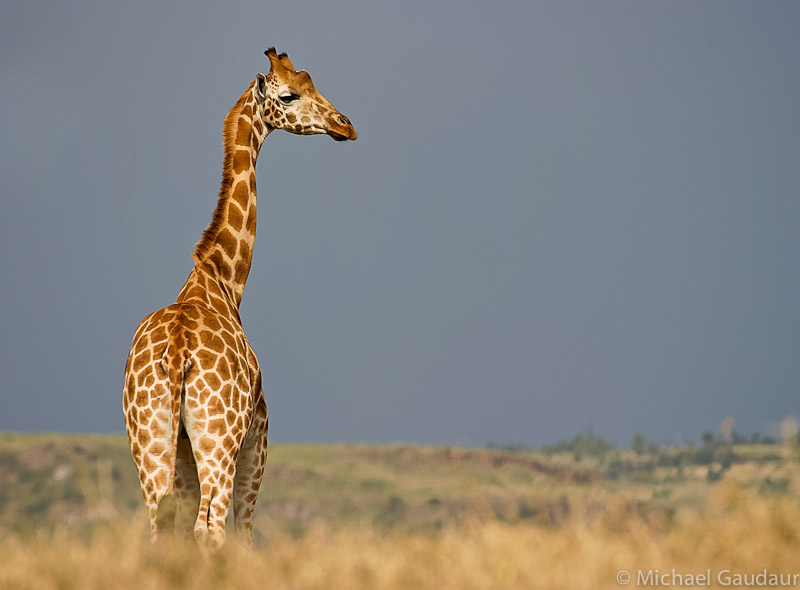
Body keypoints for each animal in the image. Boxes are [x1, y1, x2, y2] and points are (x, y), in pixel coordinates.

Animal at [121, 48, 354, 552]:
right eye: (289, 95)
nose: (345, 125)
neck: (223, 282)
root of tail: (179, 352)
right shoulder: (257, 440)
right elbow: (244, 534)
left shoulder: (183, 456)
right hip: (220, 443)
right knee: (211, 529)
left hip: (150, 443)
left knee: (161, 527)